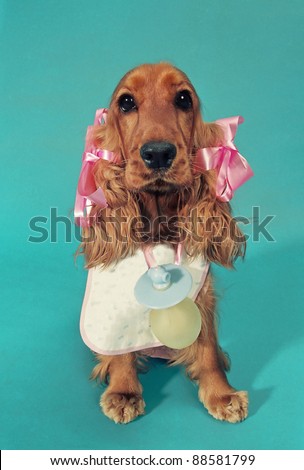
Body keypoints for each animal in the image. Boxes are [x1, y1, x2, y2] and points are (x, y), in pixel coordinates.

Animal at [81, 60, 249, 424]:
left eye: (184, 99)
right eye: (126, 102)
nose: (158, 153)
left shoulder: (202, 294)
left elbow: (207, 348)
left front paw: (222, 394)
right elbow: (120, 348)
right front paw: (123, 392)